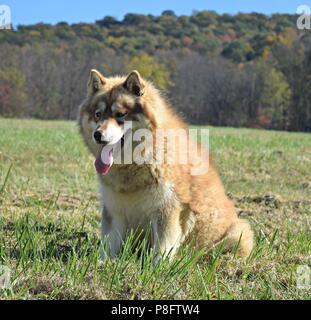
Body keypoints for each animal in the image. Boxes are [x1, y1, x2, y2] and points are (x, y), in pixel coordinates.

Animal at [78, 69, 254, 262]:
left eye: (121, 114)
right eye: (98, 114)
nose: (97, 134)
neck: (135, 166)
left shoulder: (167, 210)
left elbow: (162, 251)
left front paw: (155, 268)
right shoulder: (114, 210)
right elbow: (108, 246)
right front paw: (101, 264)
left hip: (238, 233)